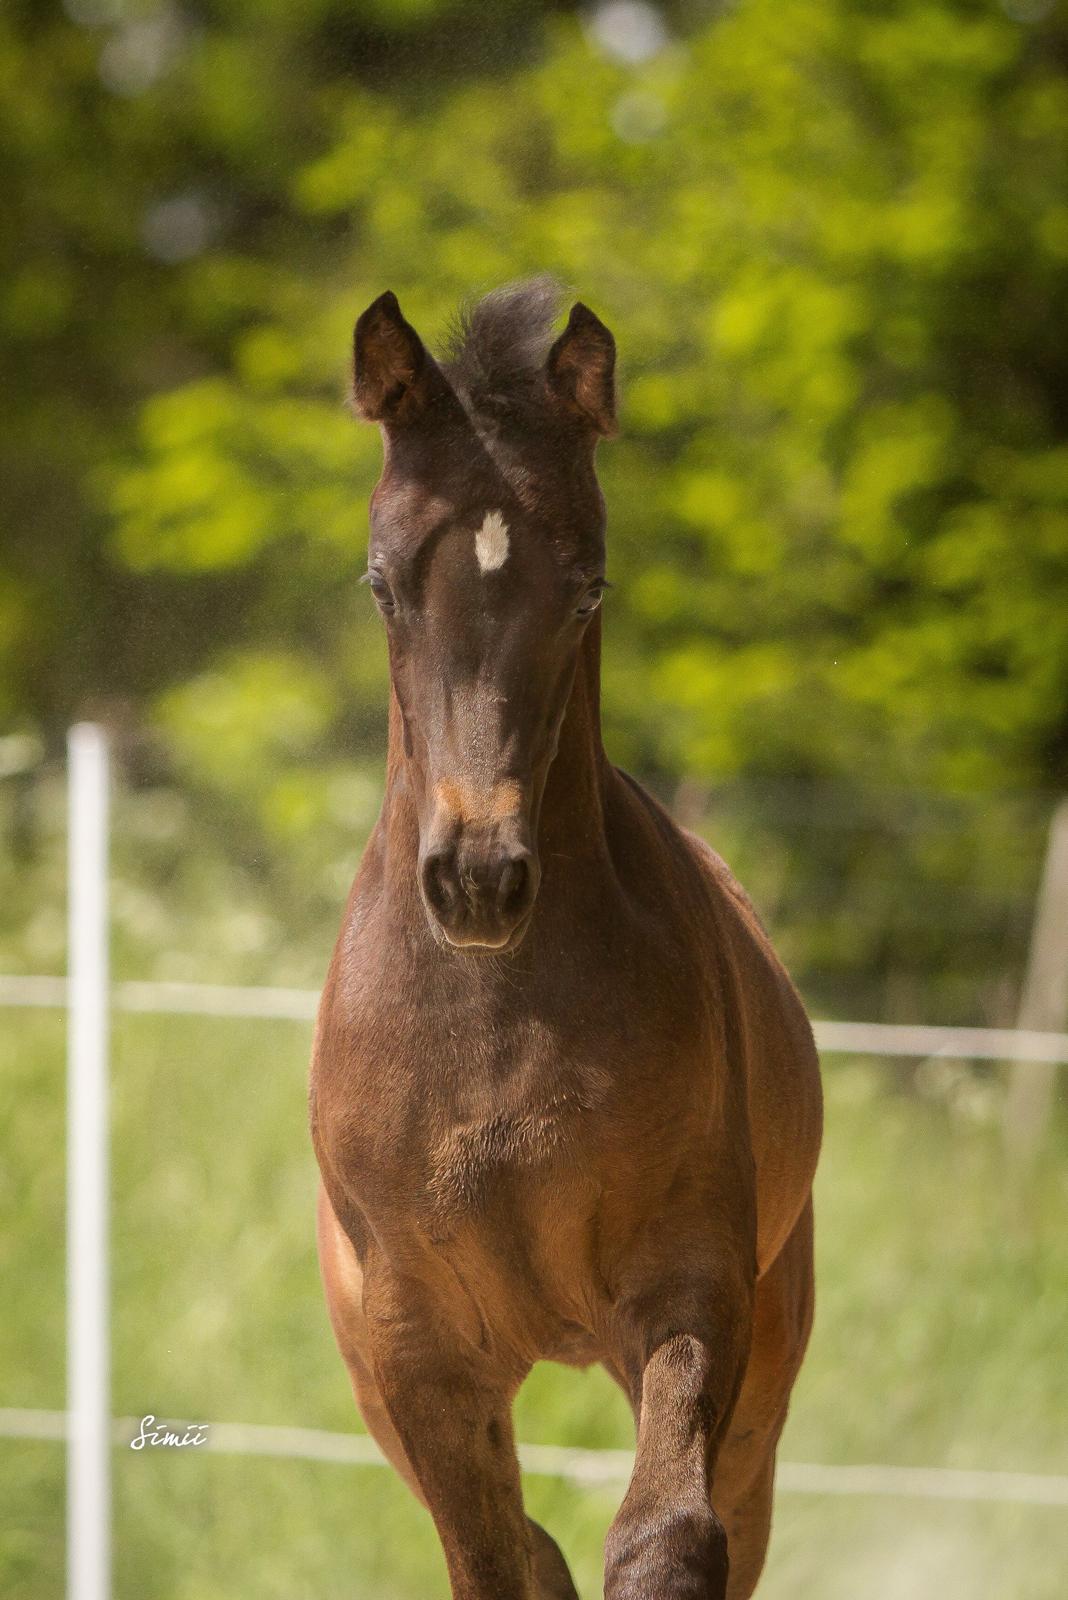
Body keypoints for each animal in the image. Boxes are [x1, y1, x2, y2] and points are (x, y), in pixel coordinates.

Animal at [310, 281, 824, 1593]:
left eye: (589, 587)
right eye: (380, 584)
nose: (480, 880)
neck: (495, 1028)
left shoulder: (688, 1285)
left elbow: (665, 1535)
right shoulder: (415, 1349)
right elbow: (498, 1556)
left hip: (767, 1363)